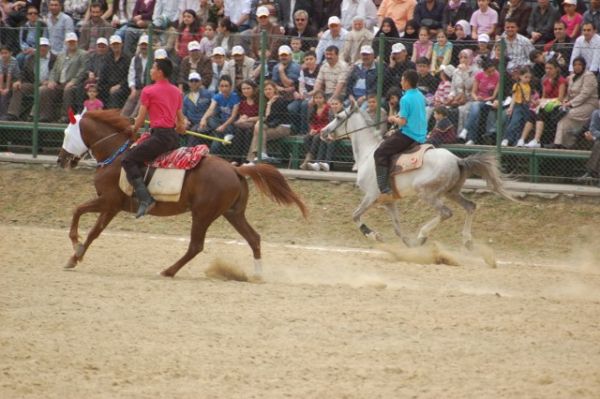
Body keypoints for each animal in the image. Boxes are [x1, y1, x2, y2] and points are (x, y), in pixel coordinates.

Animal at [56, 109, 308, 278]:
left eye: (67, 134)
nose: (61, 160)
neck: (116, 155)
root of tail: (235, 168)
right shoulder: (110, 206)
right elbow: (87, 223)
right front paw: (75, 253)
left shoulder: (109, 203)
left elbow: (84, 220)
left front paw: (75, 251)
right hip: (232, 213)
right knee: (253, 238)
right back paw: (257, 274)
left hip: (203, 214)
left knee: (196, 246)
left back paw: (168, 270)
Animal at [322, 104, 516, 247]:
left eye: (338, 117)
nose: (323, 132)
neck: (368, 154)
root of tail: (457, 160)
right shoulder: (389, 202)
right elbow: (397, 228)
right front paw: (408, 244)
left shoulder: (371, 196)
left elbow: (355, 215)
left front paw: (372, 235)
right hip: (451, 192)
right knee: (470, 206)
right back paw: (466, 240)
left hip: (427, 192)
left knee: (446, 212)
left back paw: (423, 234)